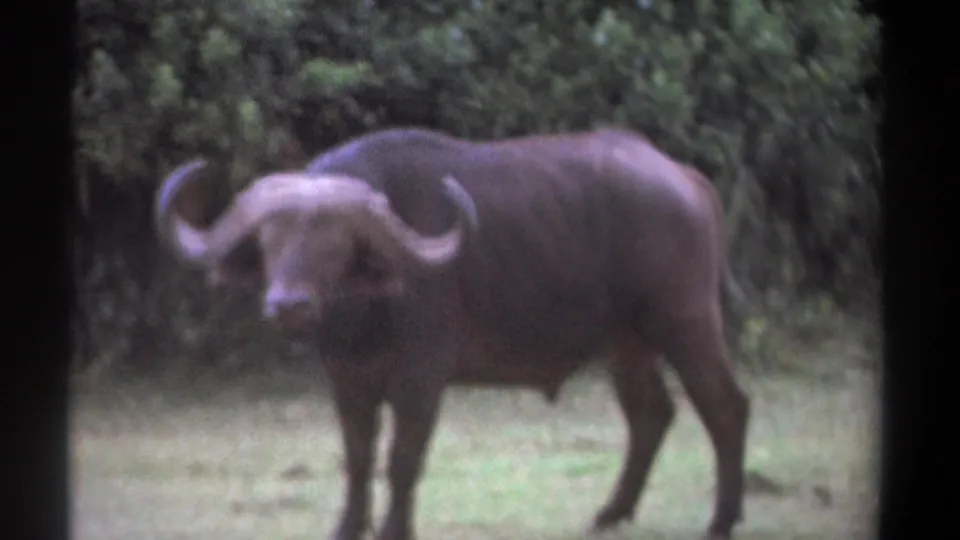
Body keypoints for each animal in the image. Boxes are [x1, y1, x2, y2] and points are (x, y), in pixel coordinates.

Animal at [154, 127, 751, 540]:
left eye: (336, 244)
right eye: (271, 240)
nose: (289, 304)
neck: (366, 315)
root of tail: (686, 178)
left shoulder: (421, 377)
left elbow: (402, 459)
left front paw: (396, 530)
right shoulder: (347, 379)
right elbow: (358, 458)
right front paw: (347, 527)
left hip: (685, 322)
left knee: (725, 405)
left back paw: (721, 519)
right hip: (626, 343)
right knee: (651, 413)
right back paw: (610, 513)